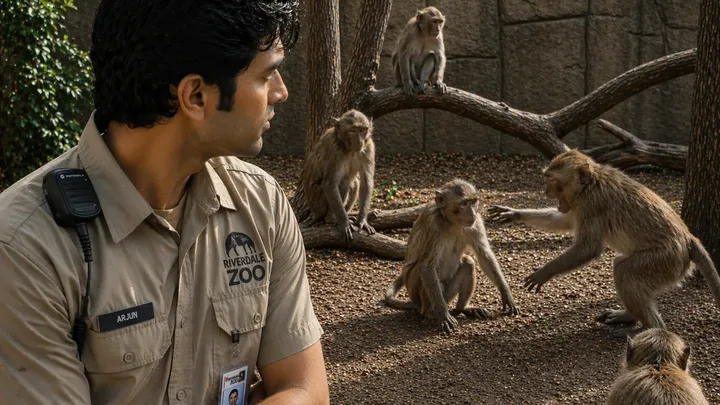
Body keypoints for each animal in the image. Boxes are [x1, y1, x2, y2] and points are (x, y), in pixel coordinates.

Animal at [290, 109, 376, 244]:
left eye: (362, 130)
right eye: (353, 130)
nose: (359, 141)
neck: (348, 148)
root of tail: (315, 213)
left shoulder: (369, 148)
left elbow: (366, 183)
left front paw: (362, 221)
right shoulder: (334, 150)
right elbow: (329, 184)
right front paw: (344, 223)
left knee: (355, 183)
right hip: (319, 203)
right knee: (344, 182)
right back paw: (331, 219)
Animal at [384, 179, 520, 333]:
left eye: (473, 202)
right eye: (464, 203)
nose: (472, 213)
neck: (451, 221)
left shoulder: (476, 223)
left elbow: (484, 255)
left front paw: (506, 293)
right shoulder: (434, 225)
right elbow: (427, 265)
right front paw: (443, 314)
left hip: (448, 294)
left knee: (468, 262)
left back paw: (463, 308)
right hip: (420, 295)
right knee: (421, 271)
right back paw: (430, 312)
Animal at [487, 149, 720, 335]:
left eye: (553, 181)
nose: (545, 191)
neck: (590, 185)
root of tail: (689, 239)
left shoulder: (592, 204)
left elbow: (588, 248)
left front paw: (545, 272)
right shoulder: (577, 205)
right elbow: (563, 221)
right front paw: (513, 213)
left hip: (666, 261)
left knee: (625, 271)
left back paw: (649, 328)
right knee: (623, 268)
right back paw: (629, 316)